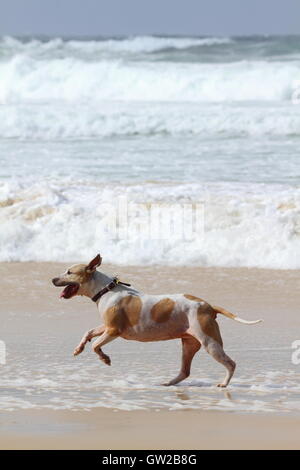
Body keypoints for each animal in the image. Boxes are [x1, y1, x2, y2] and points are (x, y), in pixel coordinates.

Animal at [52, 255, 262, 388]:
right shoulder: (106, 326)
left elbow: (96, 345)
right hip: (189, 343)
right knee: (185, 371)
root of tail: (208, 306)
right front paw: (78, 348)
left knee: (230, 363)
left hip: (210, 343)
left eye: (69, 272)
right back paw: (168, 383)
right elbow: (88, 332)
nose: (53, 279)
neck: (106, 290)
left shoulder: (113, 330)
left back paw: (224, 383)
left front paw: (105, 359)